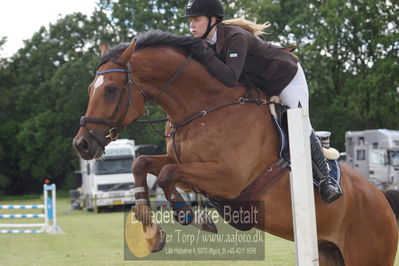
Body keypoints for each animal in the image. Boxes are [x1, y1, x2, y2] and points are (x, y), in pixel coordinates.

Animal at [72, 30, 399, 264]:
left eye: (111, 89)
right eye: (89, 89)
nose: (82, 144)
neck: (202, 108)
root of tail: (381, 197)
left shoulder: (229, 178)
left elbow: (166, 174)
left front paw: (194, 218)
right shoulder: (186, 163)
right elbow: (142, 164)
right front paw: (151, 231)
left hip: (367, 255)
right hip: (328, 250)